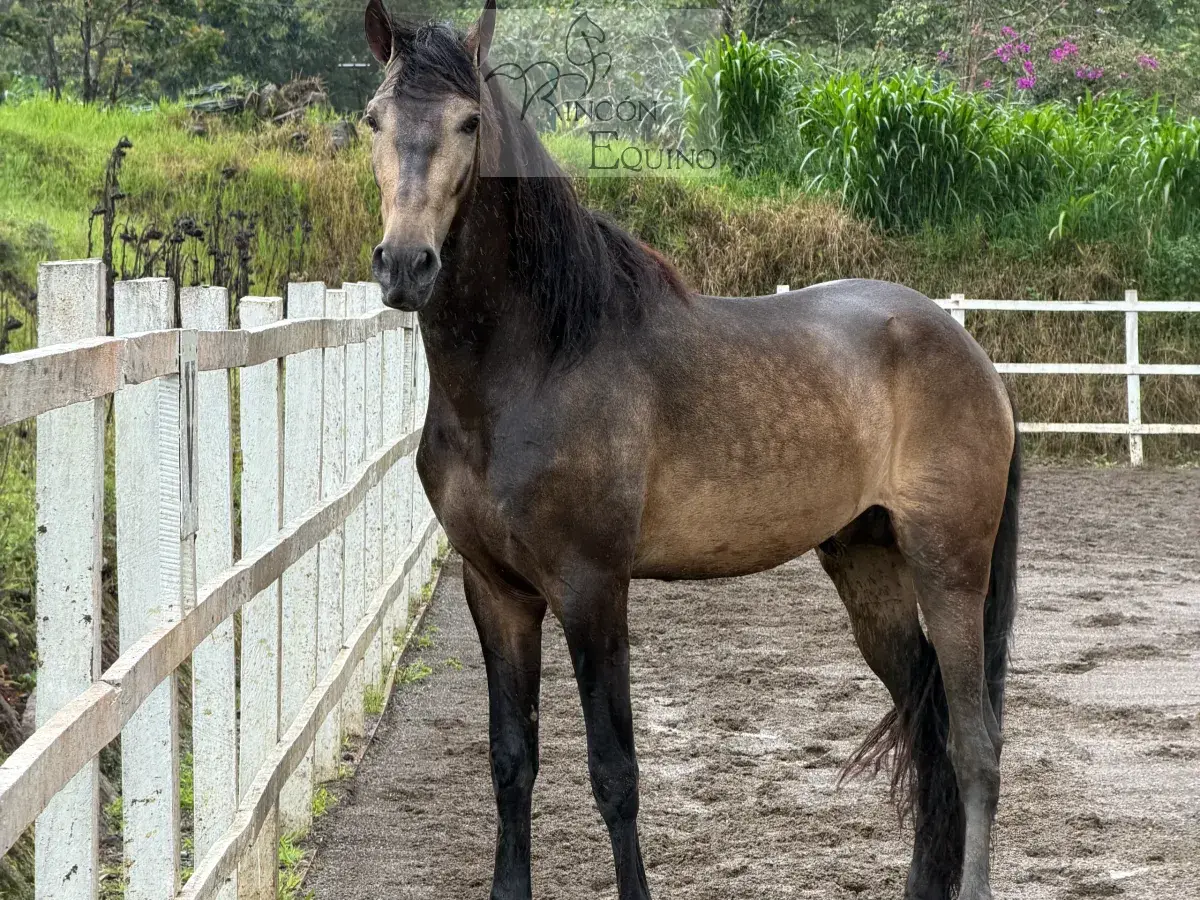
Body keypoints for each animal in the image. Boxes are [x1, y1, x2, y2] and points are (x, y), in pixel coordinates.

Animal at [360, 2, 1020, 898]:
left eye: (468, 122)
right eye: (374, 119)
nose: (405, 264)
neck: (540, 360)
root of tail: (967, 348)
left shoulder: (593, 590)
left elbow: (614, 772)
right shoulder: (495, 592)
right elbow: (510, 762)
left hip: (949, 563)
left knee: (974, 741)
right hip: (867, 563)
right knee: (926, 724)